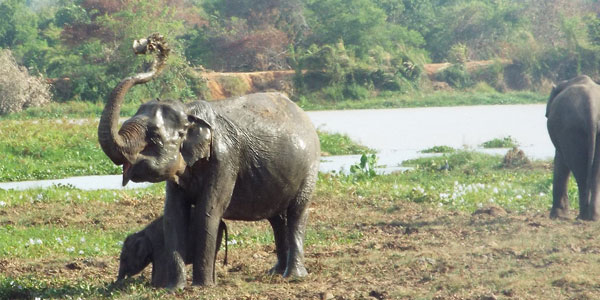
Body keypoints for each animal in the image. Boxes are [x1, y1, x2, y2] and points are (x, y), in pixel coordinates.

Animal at [98, 33, 322, 288]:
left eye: (154, 136)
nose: (146, 45)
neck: (189, 111)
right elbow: (174, 214)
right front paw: (174, 289)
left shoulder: (225, 159)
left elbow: (209, 209)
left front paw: (202, 287)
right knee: (277, 218)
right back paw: (275, 272)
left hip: (310, 168)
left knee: (296, 213)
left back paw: (293, 276)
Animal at [548, 75, 600, 220]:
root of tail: (592, 109)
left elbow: (560, 160)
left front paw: (556, 216)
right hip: (574, 130)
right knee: (593, 174)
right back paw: (592, 217)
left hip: (570, 129)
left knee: (580, 171)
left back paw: (583, 217)